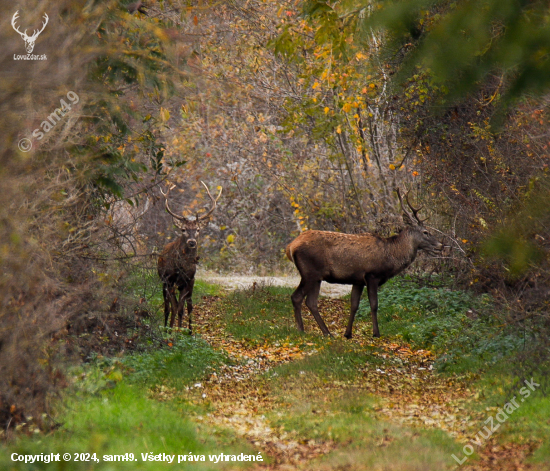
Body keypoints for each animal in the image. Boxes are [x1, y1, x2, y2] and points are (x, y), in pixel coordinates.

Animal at [157, 183, 222, 334]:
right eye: (183, 230)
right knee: (168, 307)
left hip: (189, 284)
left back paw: (190, 331)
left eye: (198, 229)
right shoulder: (169, 280)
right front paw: (170, 330)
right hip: (164, 282)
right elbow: (173, 307)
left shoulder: (188, 281)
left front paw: (179, 331)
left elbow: (182, 309)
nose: (192, 242)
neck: (182, 267)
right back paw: (167, 328)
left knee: (188, 306)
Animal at [286, 191, 446, 340]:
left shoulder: (357, 280)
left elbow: (354, 305)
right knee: (297, 297)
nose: (441, 245)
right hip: (310, 272)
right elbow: (374, 304)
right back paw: (302, 330)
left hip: (317, 277)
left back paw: (327, 333)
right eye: (425, 232)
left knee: (311, 302)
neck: (391, 255)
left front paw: (347, 334)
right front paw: (376, 333)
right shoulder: (372, 275)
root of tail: (290, 247)